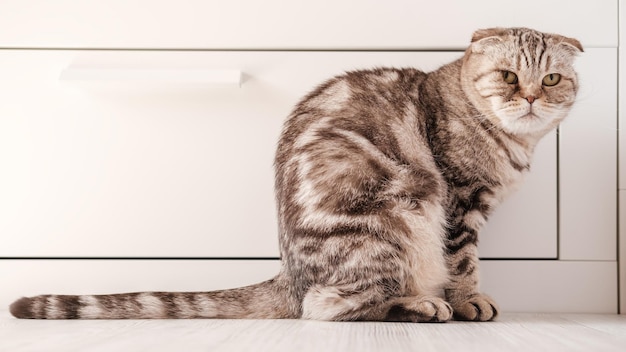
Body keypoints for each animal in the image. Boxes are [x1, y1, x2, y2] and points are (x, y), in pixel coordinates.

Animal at [8, 28, 580, 322]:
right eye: (508, 76)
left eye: (552, 79)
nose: (531, 97)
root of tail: (288, 272)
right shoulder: (458, 202)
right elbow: (463, 264)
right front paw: (466, 301)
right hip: (399, 217)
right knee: (327, 307)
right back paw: (419, 305)